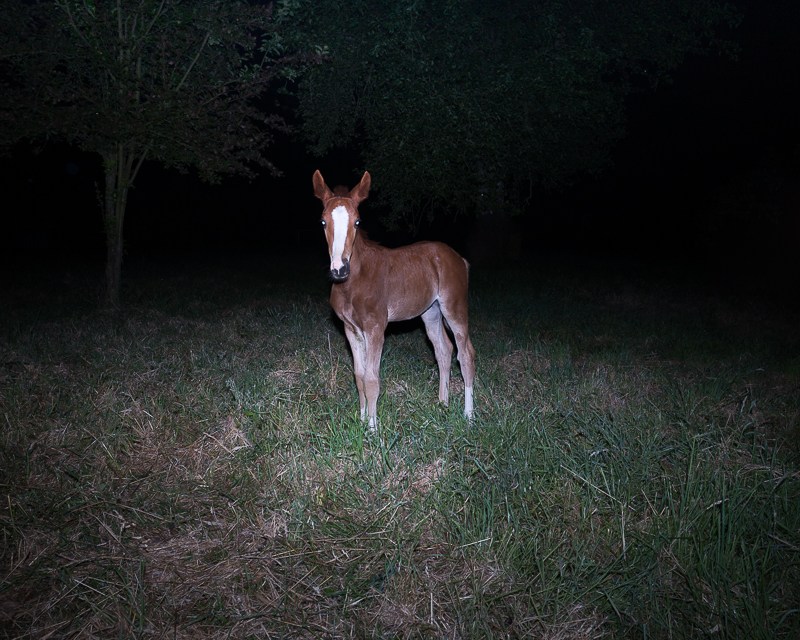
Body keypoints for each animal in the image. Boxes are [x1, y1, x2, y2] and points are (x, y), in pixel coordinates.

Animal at [312, 170, 476, 430]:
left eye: (357, 222)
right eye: (323, 222)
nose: (339, 269)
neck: (353, 282)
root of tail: (459, 258)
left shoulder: (375, 327)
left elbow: (371, 379)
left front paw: (372, 428)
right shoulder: (351, 329)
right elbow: (359, 376)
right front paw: (361, 419)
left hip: (454, 307)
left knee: (466, 354)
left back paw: (469, 415)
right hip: (431, 312)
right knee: (443, 351)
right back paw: (442, 404)